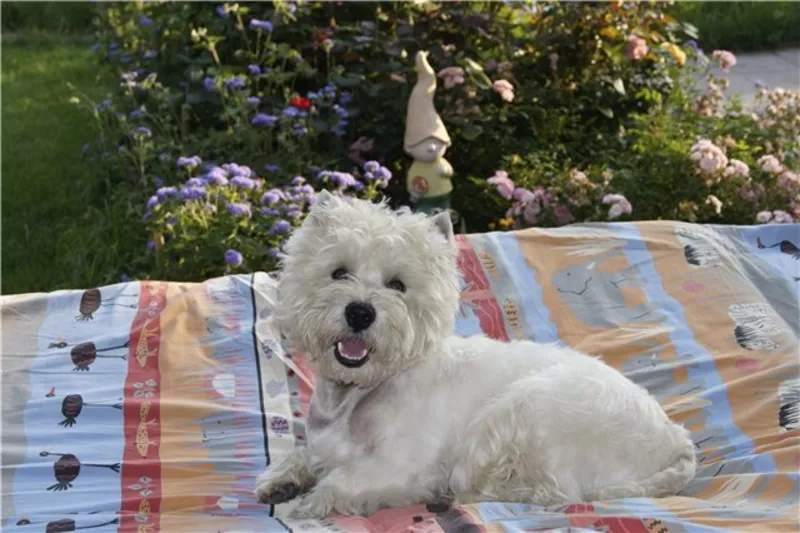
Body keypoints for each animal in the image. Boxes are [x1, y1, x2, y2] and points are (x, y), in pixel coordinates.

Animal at [253, 190, 696, 516]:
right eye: (339, 272)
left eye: (397, 284)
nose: (360, 312)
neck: (357, 394)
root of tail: (675, 439)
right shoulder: (323, 442)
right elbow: (304, 455)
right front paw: (281, 481)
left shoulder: (404, 464)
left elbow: (343, 479)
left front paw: (308, 502)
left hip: (527, 408)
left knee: (546, 490)